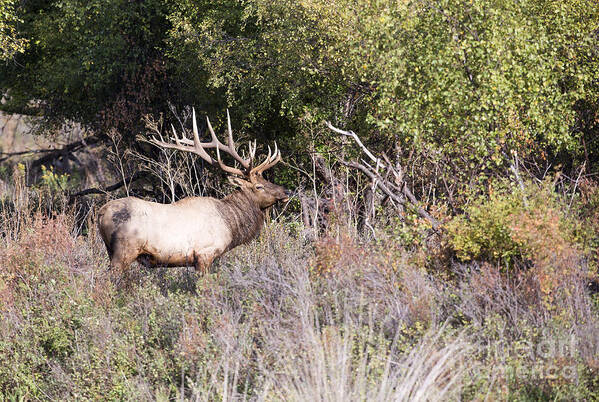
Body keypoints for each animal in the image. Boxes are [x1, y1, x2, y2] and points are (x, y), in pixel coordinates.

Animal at [98, 109, 290, 274]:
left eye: (265, 180)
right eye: (259, 186)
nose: (286, 191)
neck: (230, 223)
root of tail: (101, 213)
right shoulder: (204, 254)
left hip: (111, 251)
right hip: (124, 251)